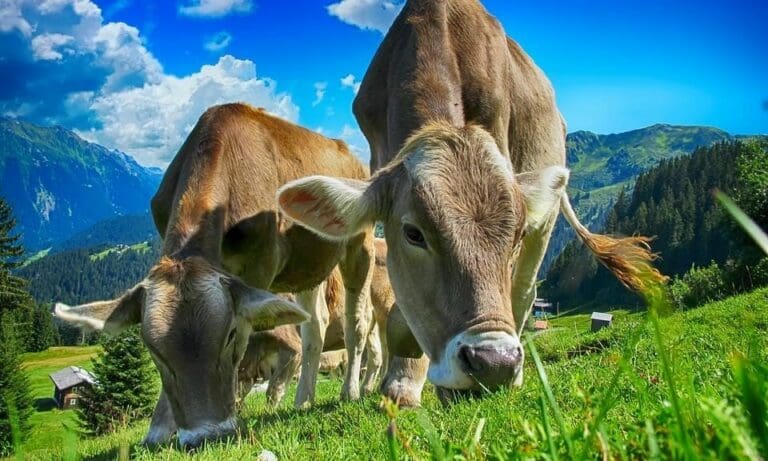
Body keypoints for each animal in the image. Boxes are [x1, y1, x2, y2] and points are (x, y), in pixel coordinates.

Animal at [54, 103, 375, 447]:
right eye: (153, 350)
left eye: (230, 335)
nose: (205, 436)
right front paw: (159, 430)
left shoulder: (259, 266)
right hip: (307, 265)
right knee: (315, 325)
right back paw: (303, 399)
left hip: (360, 243)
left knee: (357, 322)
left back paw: (351, 392)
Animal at [276, 0, 665, 406]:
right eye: (413, 234)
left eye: (515, 234)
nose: (494, 362)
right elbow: (401, 311)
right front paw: (402, 383)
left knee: (525, 290)